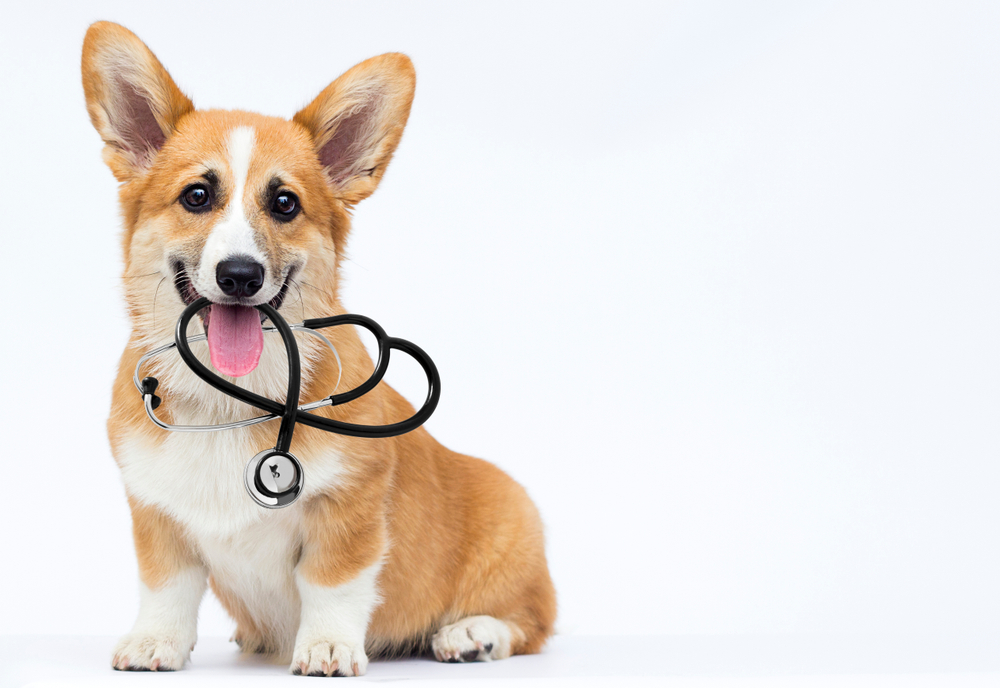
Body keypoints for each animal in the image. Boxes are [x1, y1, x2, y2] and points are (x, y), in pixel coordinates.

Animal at [82, 22, 560, 676]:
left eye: (284, 203)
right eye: (197, 196)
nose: (240, 275)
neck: (233, 396)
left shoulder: (350, 507)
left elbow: (332, 584)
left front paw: (328, 647)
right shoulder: (155, 512)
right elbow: (167, 585)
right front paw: (155, 642)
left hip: (512, 527)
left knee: (531, 620)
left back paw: (472, 634)